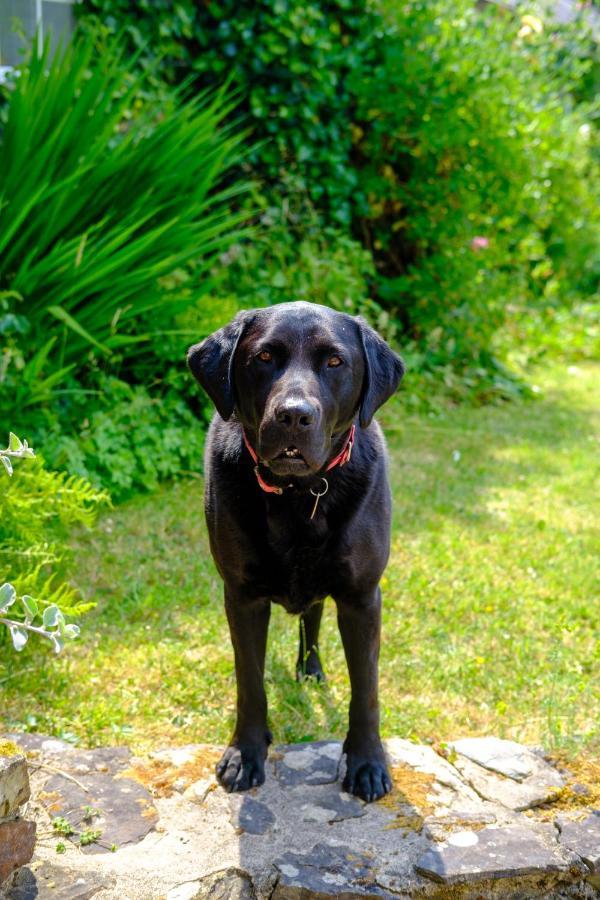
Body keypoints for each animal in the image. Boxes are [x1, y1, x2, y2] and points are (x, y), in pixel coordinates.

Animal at [188, 300, 404, 800]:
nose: (293, 415)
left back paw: (311, 670)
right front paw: (245, 753)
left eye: (335, 362)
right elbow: (249, 681)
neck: (298, 493)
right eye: (264, 357)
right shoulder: (241, 596)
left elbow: (366, 689)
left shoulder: (362, 597)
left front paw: (367, 761)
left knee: (313, 616)